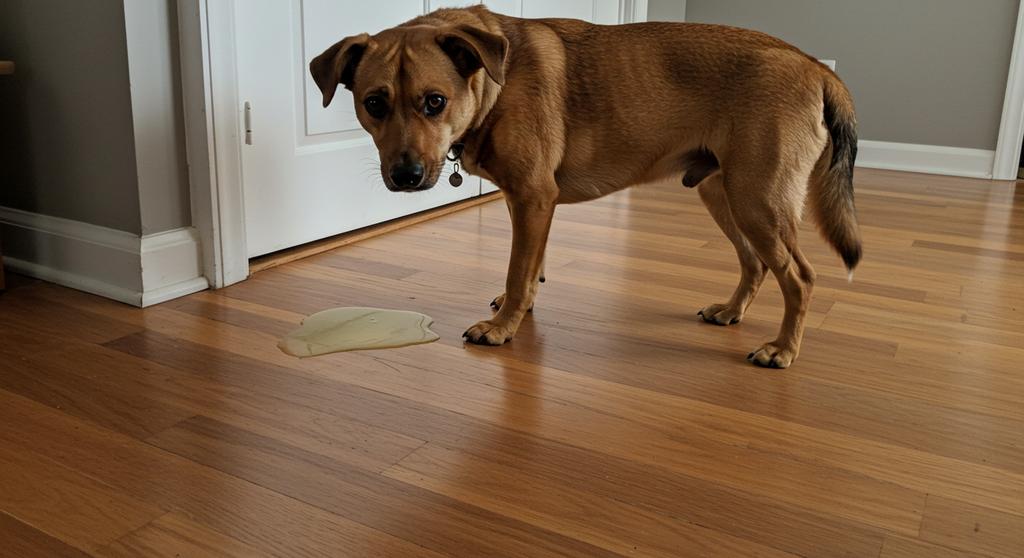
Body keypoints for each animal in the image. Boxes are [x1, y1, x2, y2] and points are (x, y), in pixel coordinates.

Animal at [309, 6, 856, 368]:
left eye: (435, 101)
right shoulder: (530, 204)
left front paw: (502, 329)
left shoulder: (533, 198)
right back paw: (732, 311)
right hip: (725, 195)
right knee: (755, 263)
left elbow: (517, 271)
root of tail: (815, 66)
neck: (495, 82)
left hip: (758, 200)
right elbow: (531, 269)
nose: (405, 178)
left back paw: (783, 349)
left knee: (800, 277)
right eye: (374, 103)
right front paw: (521, 311)